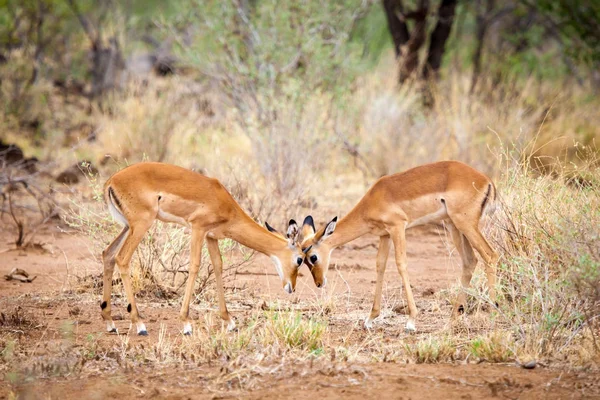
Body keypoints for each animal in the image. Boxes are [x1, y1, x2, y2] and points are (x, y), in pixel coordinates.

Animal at [101, 162, 308, 334]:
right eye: (300, 259)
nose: (292, 288)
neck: (225, 204)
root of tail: (111, 181)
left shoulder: (211, 236)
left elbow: (218, 267)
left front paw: (229, 321)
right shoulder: (198, 228)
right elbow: (194, 265)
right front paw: (186, 323)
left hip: (127, 226)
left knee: (108, 254)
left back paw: (110, 323)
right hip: (141, 224)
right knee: (122, 259)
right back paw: (140, 324)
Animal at [302, 161, 500, 332]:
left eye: (313, 257)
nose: (319, 283)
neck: (373, 199)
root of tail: (486, 180)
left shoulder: (398, 227)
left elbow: (401, 264)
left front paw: (411, 321)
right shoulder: (384, 235)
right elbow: (380, 266)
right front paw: (370, 319)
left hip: (465, 224)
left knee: (490, 255)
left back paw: (493, 314)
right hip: (454, 226)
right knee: (470, 261)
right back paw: (452, 319)